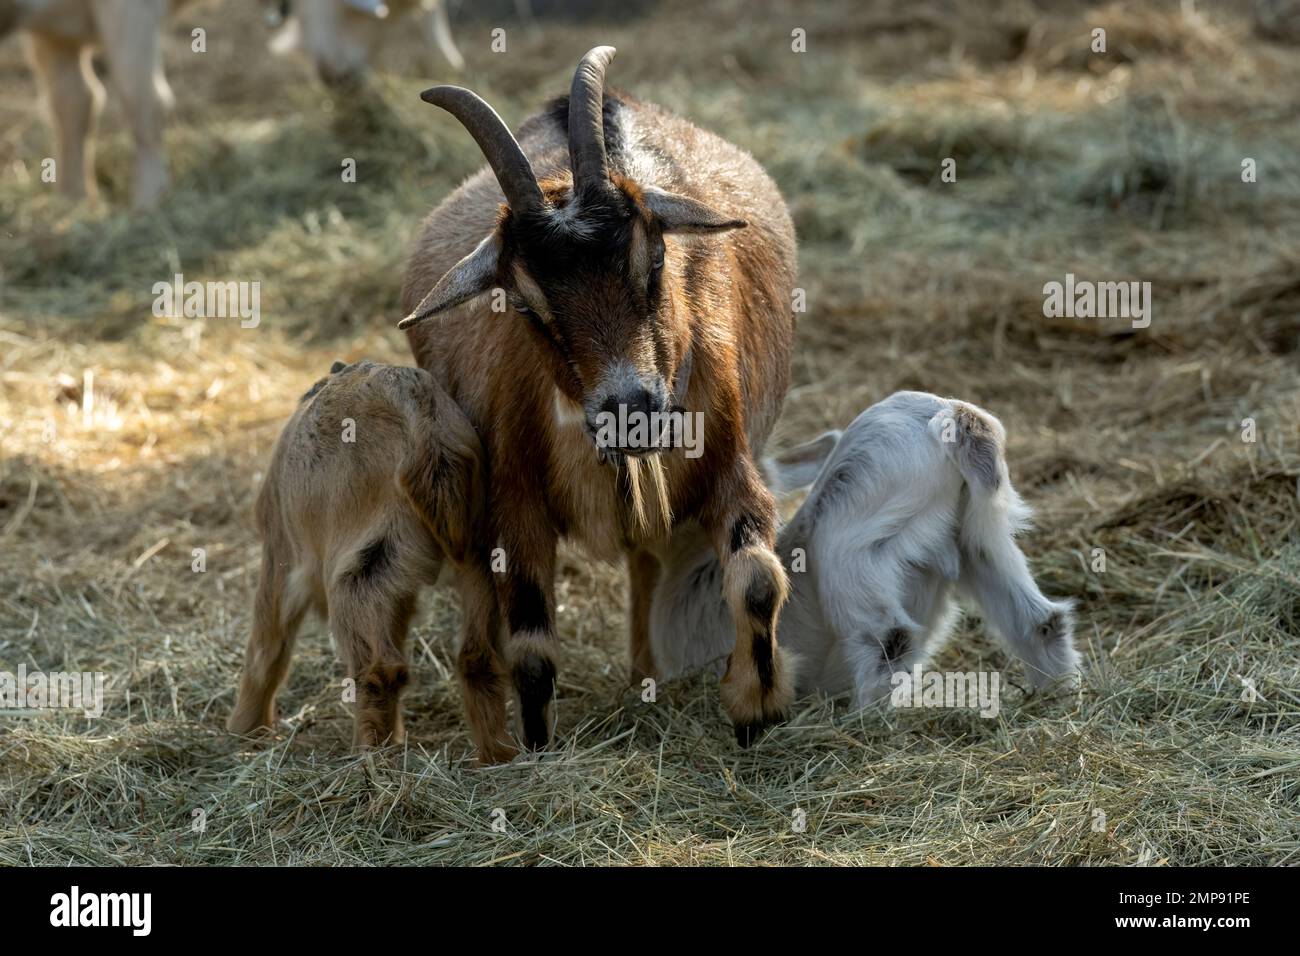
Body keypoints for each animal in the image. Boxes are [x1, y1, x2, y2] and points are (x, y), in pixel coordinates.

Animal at [227, 360, 501, 753]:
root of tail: (425, 428)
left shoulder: (280, 549)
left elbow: (267, 644)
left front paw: (244, 730)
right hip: (477, 555)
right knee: (478, 656)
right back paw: (498, 756)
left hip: (363, 563)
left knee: (378, 669)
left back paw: (366, 758)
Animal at [399, 47, 798, 757]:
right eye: (526, 302)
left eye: (655, 255)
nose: (630, 410)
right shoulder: (515, 501)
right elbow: (531, 646)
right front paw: (536, 751)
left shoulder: (729, 458)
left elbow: (755, 579)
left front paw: (757, 710)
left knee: (646, 562)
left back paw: (647, 675)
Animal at [649, 391, 1081, 708]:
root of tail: (952, 415)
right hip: (981, 530)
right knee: (1041, 619)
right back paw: (1058, 695)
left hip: (854, 538)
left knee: (891, 639)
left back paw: (863, 721)